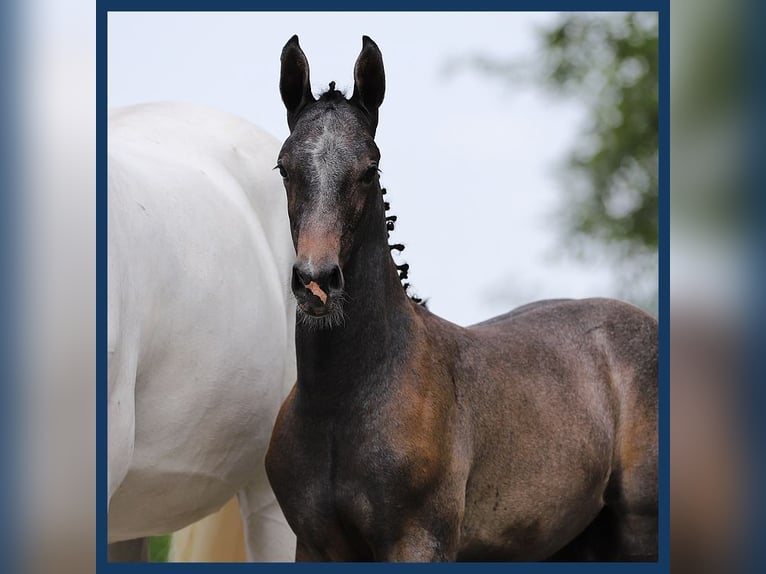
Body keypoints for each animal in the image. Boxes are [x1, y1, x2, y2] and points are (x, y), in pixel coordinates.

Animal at [266, 35, 660, 564]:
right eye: (284, 168)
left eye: (369, 169)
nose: (316, 283)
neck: (340, 403)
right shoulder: (315, 546)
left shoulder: (419, 542)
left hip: (640, 532)